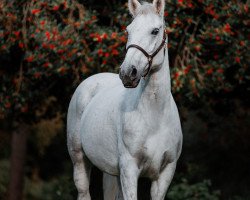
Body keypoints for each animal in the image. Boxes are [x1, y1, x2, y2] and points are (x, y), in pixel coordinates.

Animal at [67, 0, 183, 199]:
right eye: (128, 30)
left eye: (155, 31)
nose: (128, 73)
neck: (155, 117)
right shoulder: (129, 169)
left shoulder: (165, 174)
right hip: (79, 160)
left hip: (112, 172)